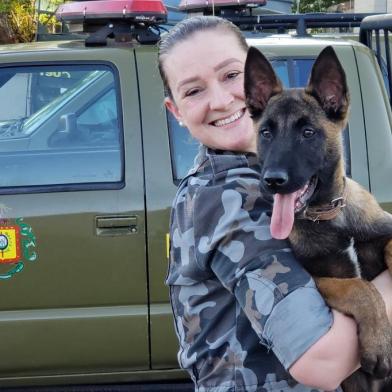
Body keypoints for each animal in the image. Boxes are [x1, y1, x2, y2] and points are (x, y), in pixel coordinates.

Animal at [245, 46, 392, 392]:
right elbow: (360, 289)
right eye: (266, 133)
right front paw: (378, 343)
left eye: (308, 133)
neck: (333, 215)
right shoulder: (318, 279)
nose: (272, 181)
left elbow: (391, 246)